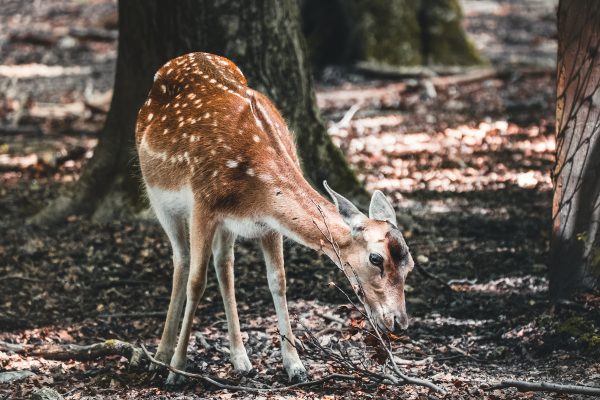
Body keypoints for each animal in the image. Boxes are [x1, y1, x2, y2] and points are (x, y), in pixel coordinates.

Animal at [135, 51, 412, 386]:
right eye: (375, 259)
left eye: (410, 264)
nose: (400, 322)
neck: (256, 190)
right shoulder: (203, 203)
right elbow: (196, 282)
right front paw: (177, 368)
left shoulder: (269, 222)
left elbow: (278, 281)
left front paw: (295, 365)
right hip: (159, 196)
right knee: (182, 261)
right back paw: (161, 358)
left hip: (225, 226)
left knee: (224, 265)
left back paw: (240, 359)